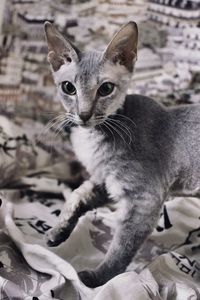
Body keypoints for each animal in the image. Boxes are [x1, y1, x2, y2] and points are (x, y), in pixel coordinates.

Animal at [43, 21, 200, 288]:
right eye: (68, 88)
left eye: (105, 89)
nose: (84, 114)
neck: (93, 140)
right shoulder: (104, 180)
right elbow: (76, 196)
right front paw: (58, 230)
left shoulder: (143, 200)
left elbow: (120, 249)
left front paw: (97, 278)